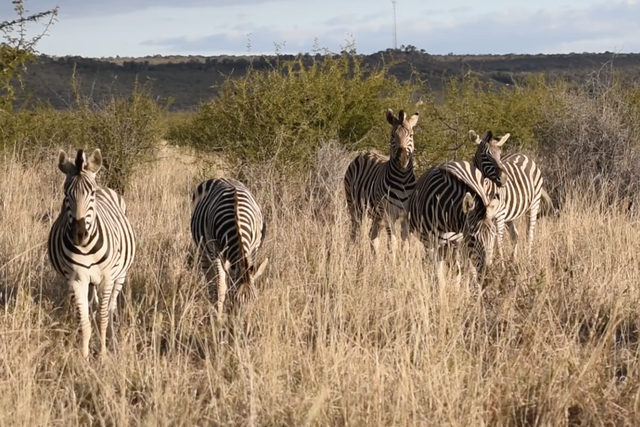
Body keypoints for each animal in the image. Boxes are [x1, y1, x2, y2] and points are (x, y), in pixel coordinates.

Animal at [48, 148, 136, 358]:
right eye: (66, 194)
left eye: (92, 194)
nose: (78, 235)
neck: (86, 247)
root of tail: (106, 188)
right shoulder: (77, 280)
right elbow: (85, 321)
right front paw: (84, 357)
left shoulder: (107, 278)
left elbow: (102, 318)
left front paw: (102, 355)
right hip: (81, 281)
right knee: (87, 306)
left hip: (119, 276)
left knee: (110, 308)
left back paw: (113, 341)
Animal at [190, 178, 268, 317]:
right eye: (235, 300)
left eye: (254, 299)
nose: (245, 322)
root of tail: (220, 178)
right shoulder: (214, 251)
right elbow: (221, 286)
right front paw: (219, 317)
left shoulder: (253, 250)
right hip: (202, 249)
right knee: (211, 280)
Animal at [344, 108, 419, 251]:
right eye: (392, 135)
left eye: (411, 135)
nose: (402, 158)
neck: (402, 180)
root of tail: (366, 152)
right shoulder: (388, 214)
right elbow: (393, 243)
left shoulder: (406, 216)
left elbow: (405, 244)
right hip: (355, 207)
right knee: (355, 234)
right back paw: (354, 253)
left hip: (376, 215)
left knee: (373, 237)